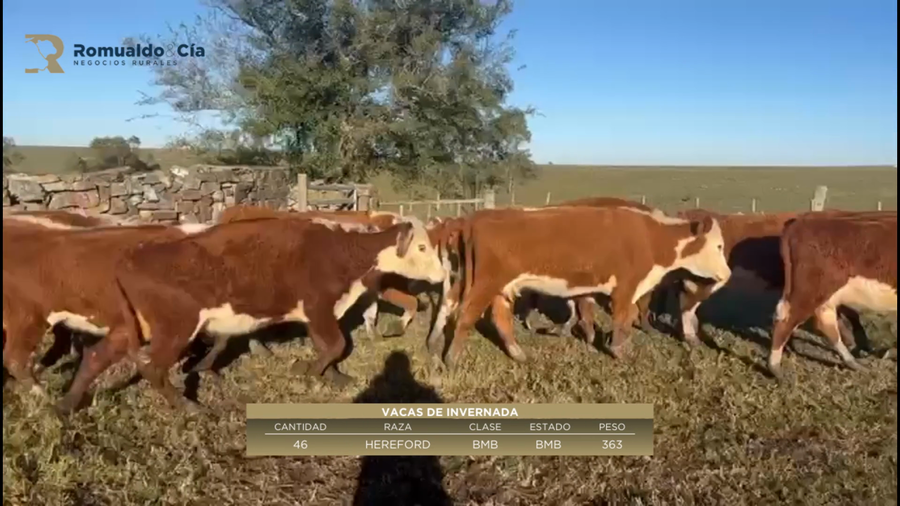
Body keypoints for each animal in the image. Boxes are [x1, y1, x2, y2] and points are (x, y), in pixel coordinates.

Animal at [54, 216, 446, 415]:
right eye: (422, 247)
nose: (442, 276)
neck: (340, 250)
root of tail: (132, 256)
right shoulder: (318, 305)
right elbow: (335, 344)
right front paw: (306, 370)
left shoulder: (317, 312)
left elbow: (330, 346)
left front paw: (333, 376)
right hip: (176, 327)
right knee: (152, 368)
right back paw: (187, 406)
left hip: (135, 326)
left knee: (95, 356)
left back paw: (66, 405)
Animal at [431, 206, 731, 369]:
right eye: (718, 246)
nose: (727, 274)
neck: (651, 237)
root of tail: (475, 218)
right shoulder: (626, 287)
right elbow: (623, 319)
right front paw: (619, 352)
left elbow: (626, 317)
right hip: (484, 284)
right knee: (466, 316)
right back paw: (451, 359)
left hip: (499, 287)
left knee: (498, 317)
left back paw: (518, 354)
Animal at [768, 211, 897, 379]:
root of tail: (799, 221)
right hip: (810, 288)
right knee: (786, 319)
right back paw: (775, 368)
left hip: (824, 293)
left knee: (826, 323)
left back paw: (853, 362)